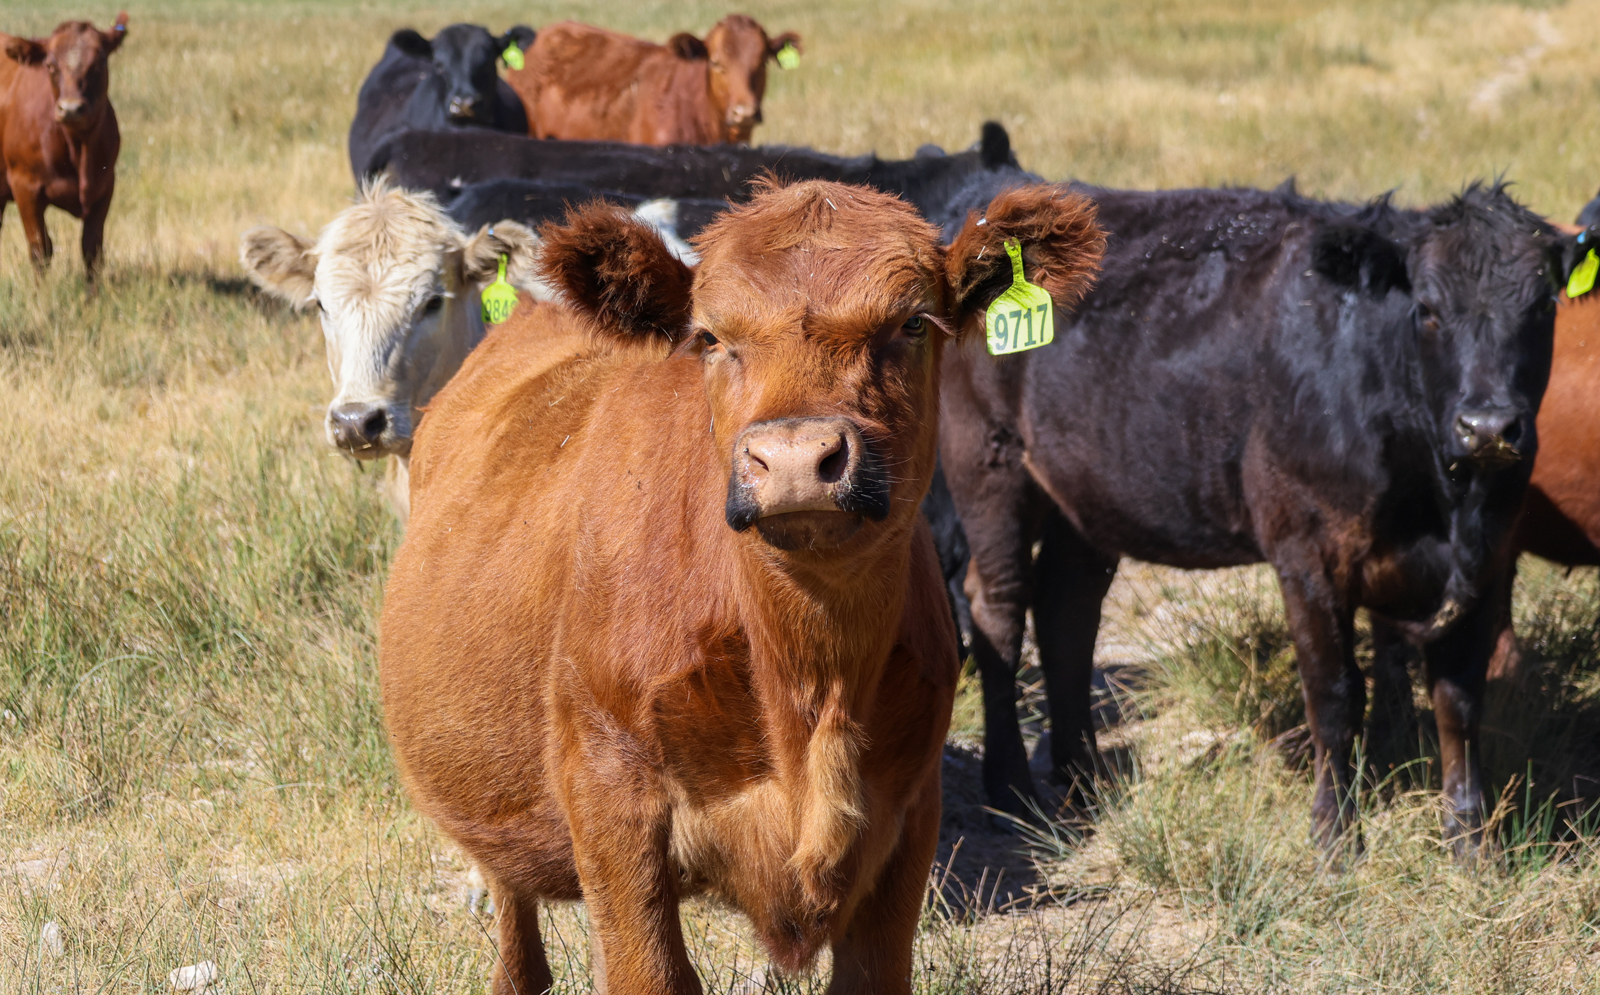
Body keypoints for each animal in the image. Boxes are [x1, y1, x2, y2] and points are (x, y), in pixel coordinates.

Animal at [0, 12, 127, 284]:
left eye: (99, 61)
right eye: (50, 65)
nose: (70, 109)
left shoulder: (105, 186)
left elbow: (92, 251)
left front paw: (92, 295)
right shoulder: (24, 187)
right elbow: (40, 249)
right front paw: (41, 293)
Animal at [377, 179, 1104, 994]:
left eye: (912, 322)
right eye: (710, 337)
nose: (793, 457)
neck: (810, 683)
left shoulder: (910, 812)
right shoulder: (608, 793)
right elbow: (649, 973)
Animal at [940, 179, 1569, 858]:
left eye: (1543, 307)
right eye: (1427, 309)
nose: (1489, 426)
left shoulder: (1484, 556)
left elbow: (1460, 700)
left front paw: (1472, 842)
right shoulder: (1308, 553)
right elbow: (1335, 693)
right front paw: (1335, 837)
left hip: (1083, 494)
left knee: (1066, 612)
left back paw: (1085, 780)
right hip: (988, 460)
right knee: (999, 607)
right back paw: (1010, 789)